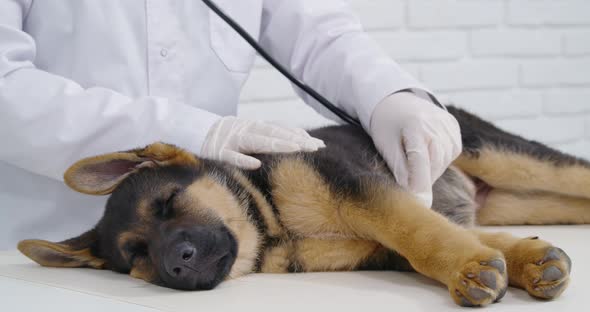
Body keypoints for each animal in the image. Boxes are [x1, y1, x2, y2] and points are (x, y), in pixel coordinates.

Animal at [16, 106, 584, 306]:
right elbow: (448, 236)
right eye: (136, 255)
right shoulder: (381, 241)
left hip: (506, 158)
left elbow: (422, 234)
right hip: (522, 200)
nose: (176, 261)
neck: (271, 220)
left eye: (168, 202)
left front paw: (471, 270)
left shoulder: (367, 194)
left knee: (578, 174)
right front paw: (528, 261)